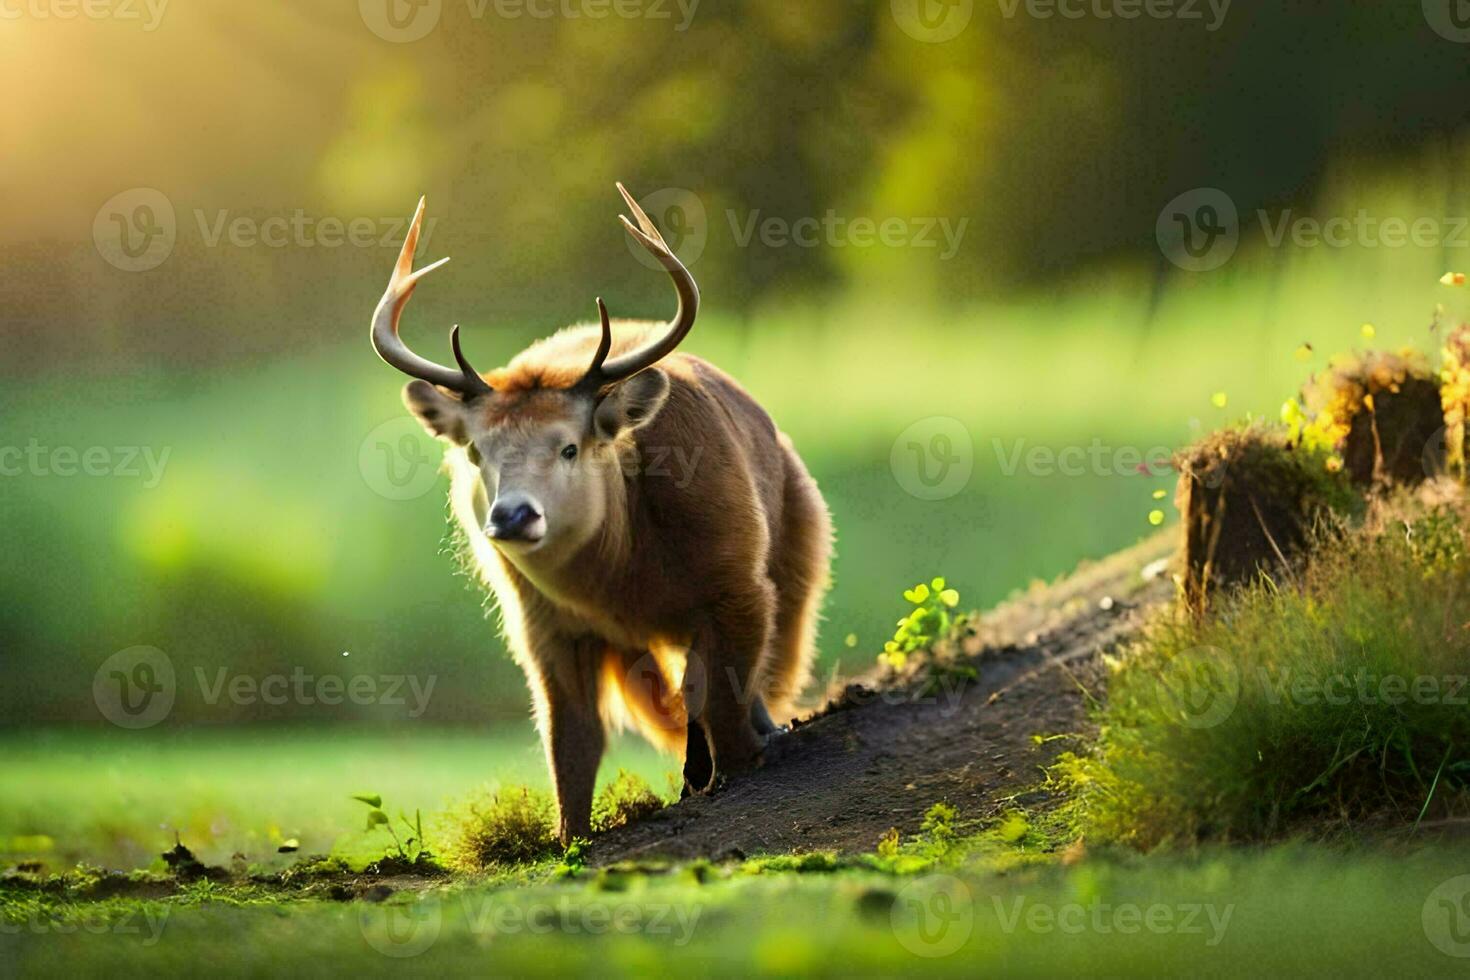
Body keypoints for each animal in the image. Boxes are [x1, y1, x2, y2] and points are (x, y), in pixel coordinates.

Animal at [367, 188, 834, 846]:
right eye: (477, 451)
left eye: (569, 446)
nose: (513, 516)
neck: (624, 575)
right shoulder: (545, 630)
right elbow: (571, 745)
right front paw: (571, 836)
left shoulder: (738, 586)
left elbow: (726, 702)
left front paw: (740, 767)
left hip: (800, 555)